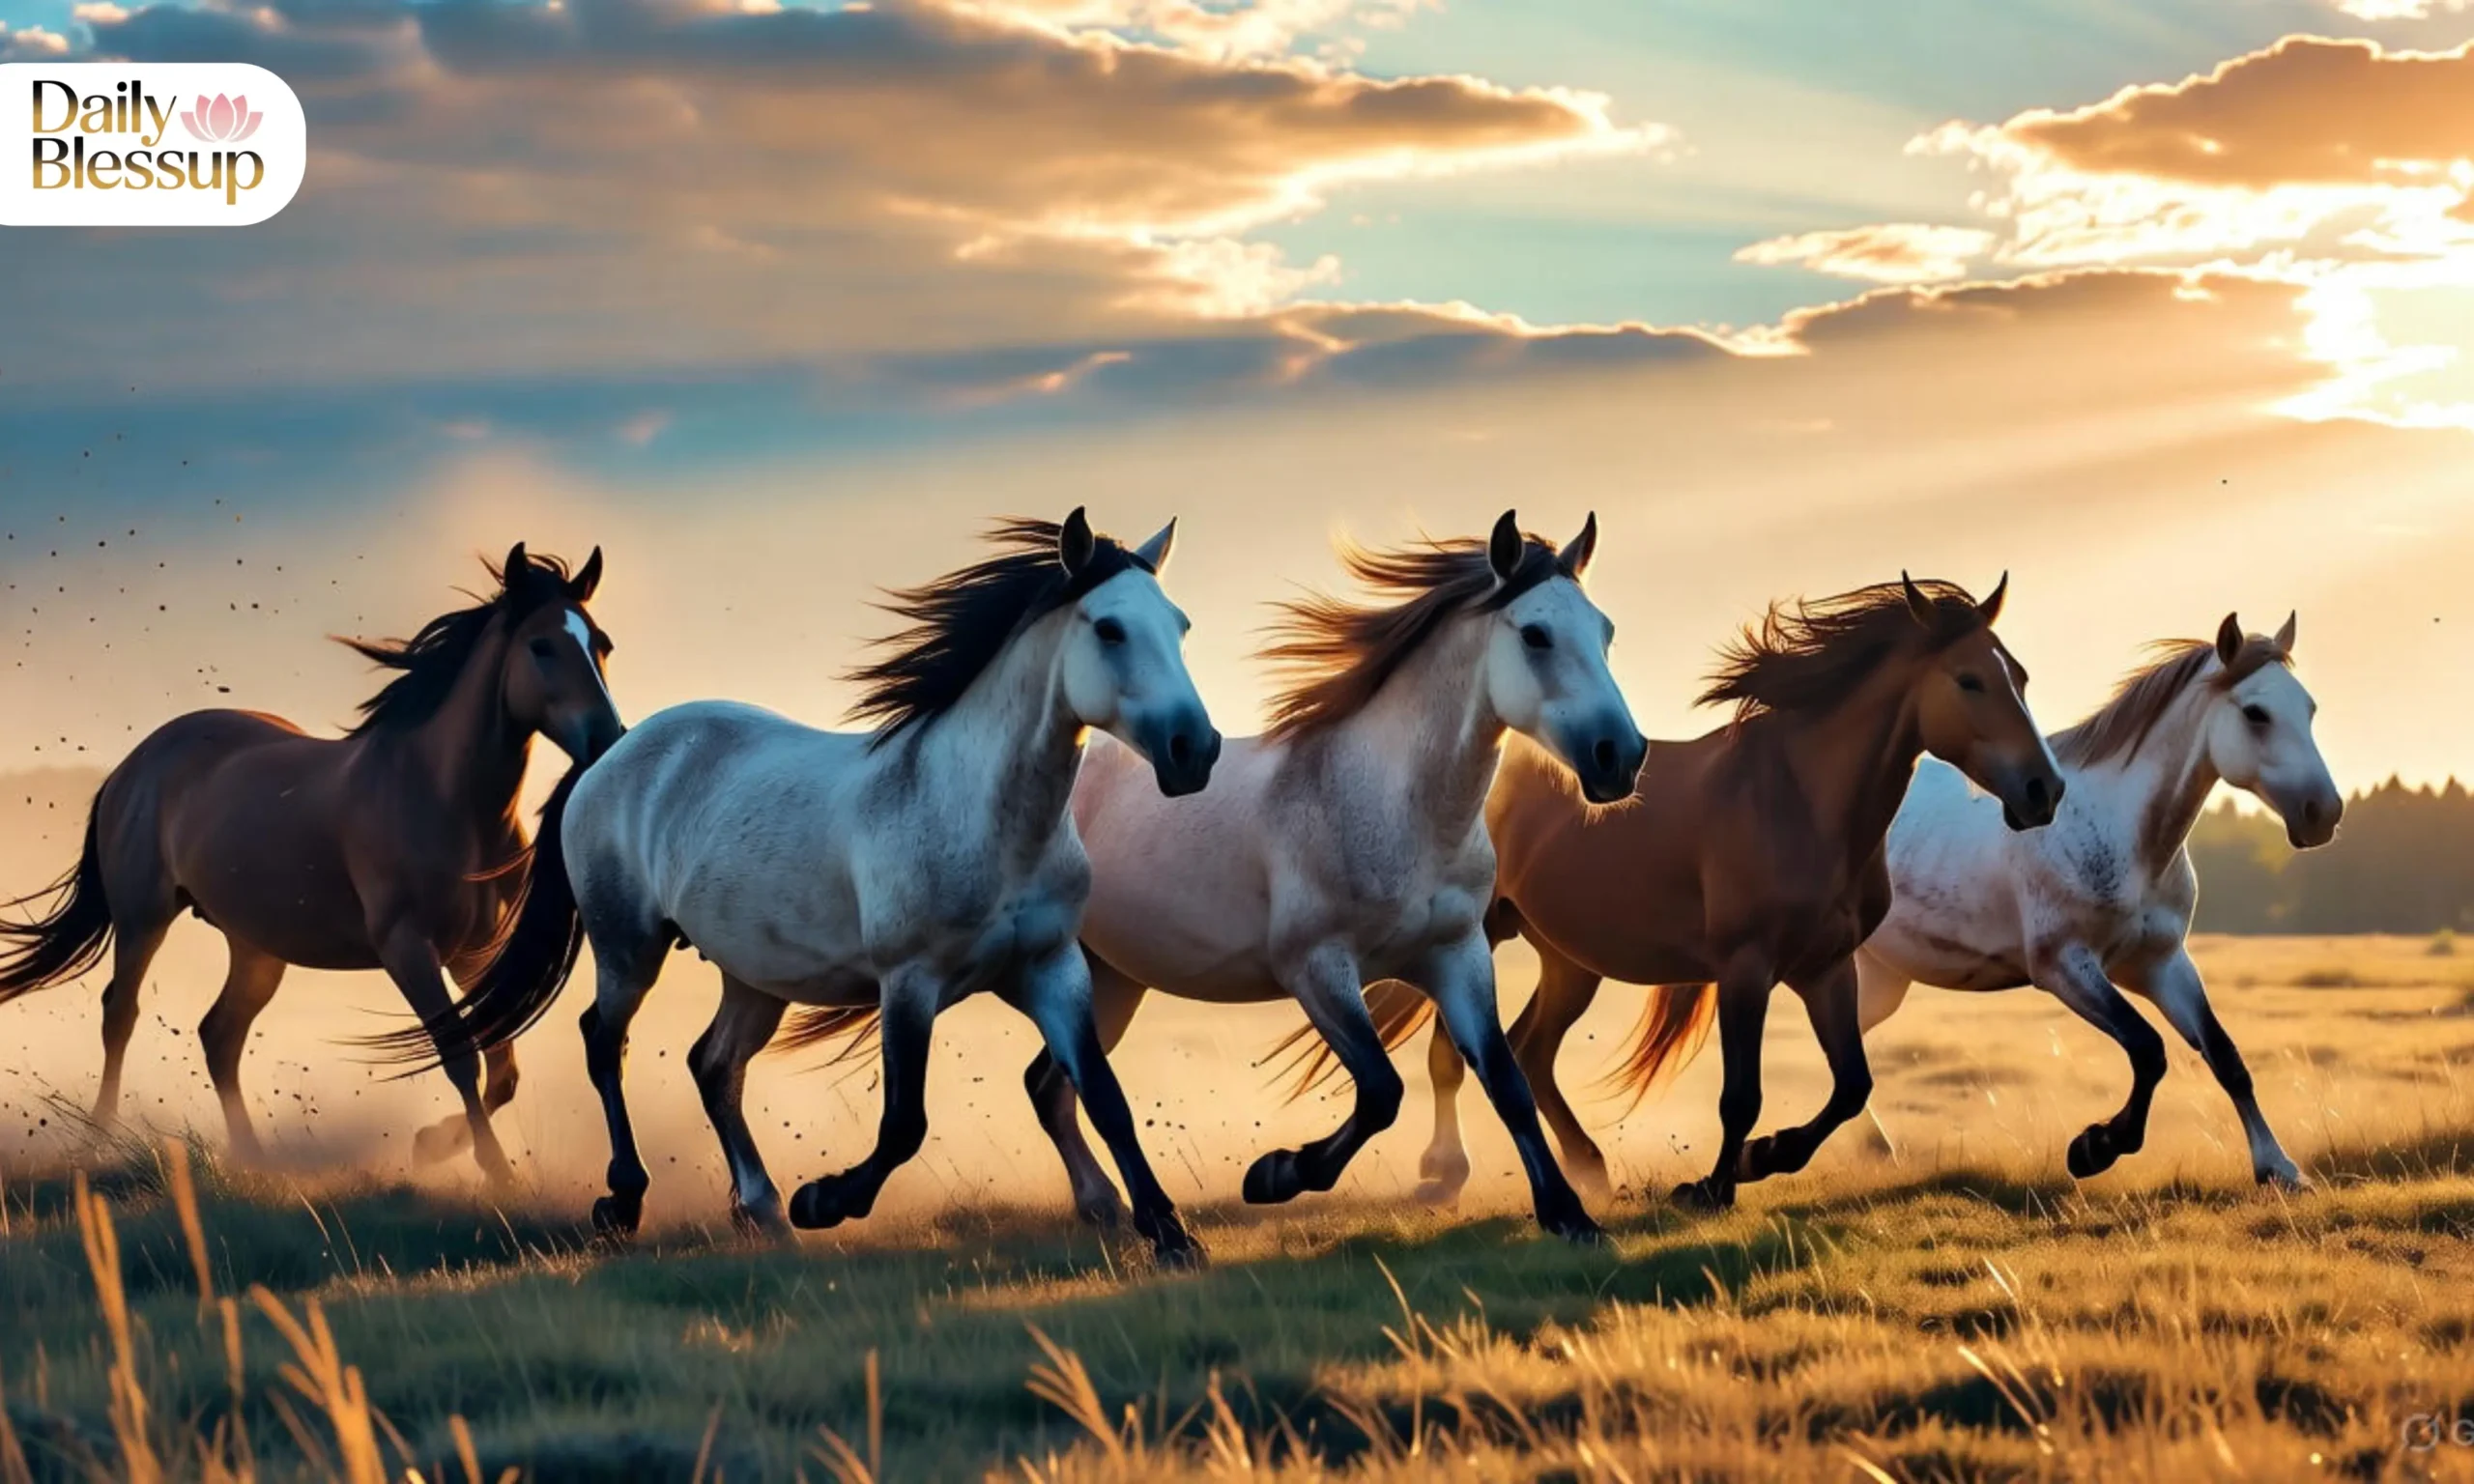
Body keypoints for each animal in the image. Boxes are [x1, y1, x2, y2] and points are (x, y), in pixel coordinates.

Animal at [0, 545, 622, 1183]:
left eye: (602, 643)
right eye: (540, 645)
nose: (608, 738)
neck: (443, 799)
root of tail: (135, 763)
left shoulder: (476, 953)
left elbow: (504, 1070)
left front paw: (432, 1145)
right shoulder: (408, 948)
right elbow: (460, 1056)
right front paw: (495, 1170)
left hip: (255, 945)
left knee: (219, 1035)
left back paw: (253, 1160)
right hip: (143, 917)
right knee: (120, 1014)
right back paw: (98, 1142)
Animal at [411, 510, 1220, 1264]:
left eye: (1180, 626)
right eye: (1109, 629)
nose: (1195, 750)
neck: (974, 812)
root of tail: (610, 754)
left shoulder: (1053, 969)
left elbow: (1105, 1098)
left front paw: (1170, 1234)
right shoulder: (909, 982)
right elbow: (905, 1124)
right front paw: (824, 1201)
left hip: (753, 974)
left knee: (712, 1065)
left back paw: (760, 1207)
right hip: (628, 947)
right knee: (604, 1042)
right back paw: (628, 1199)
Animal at [1006, 511, 1644, 1245]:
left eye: (1606, 631)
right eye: (1536, 634)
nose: (1620, 756)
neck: (1387, 804)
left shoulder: (1458, 956)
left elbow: (1505, 1083)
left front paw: (1569, 1215)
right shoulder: (1316, 969)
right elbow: (1382, 1090)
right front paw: (1276, 1174)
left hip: (1109, 979)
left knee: (1051, 1084)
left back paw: (1104, 1205)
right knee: (1055, 1084)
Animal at [1326, 575, 2065, 1212]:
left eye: (2021, 676)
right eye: (1969, 680)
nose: (2044, 790)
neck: (1801, 803)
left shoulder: (1825, 969)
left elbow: (1853, 1084)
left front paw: (1767, 1157)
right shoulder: (1745, 968)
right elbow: (1742, 1095)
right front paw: (1713, 1186)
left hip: (1569, 961)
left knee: (1529, 1052)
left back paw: (1588, 1167)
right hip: (1481, 935)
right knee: (1455, 1054)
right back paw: (1447, 1171)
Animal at [1854, 613, 2340, 1186]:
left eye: (2309, 708)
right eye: (2256, 713)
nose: (2324, 813)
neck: (2119, 829)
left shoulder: (2161, 963)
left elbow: (2224, 1055)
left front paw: (2278, 1168)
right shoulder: (2065, 966)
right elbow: (2148, 1050)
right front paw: (2095, 1147)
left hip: (1881, 980)